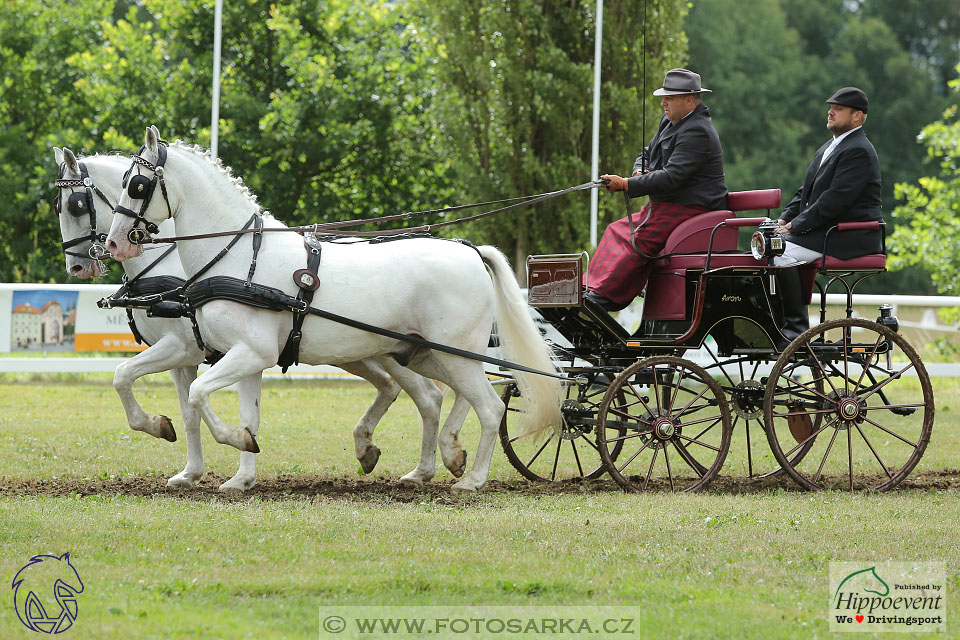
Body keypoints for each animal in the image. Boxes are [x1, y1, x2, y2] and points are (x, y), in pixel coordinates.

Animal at [55, 148, 450, 490]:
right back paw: (380, 453)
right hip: (359, 352)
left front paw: (164, 431)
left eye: (77, 205)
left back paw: (426, 467)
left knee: (427, 396)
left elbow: (127, 377)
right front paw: (191, 470)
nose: (77, 266)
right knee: (396, 389)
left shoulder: (183, 348)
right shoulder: (187, 358)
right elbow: (188, 412)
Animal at [105, 127, 560, 492]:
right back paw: (440, 459)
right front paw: (241, 473)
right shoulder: (246, 357)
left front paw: (227, 442)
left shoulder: (245, 352)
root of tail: (471, 252)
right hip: (425, 354)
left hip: (454, 354)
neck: (241, 258)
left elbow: (197, 394)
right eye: (123, 181)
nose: (114, 243)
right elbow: (245, 415)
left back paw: (472, 479)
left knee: (490, 407)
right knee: (452, 396)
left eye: (138, 185)